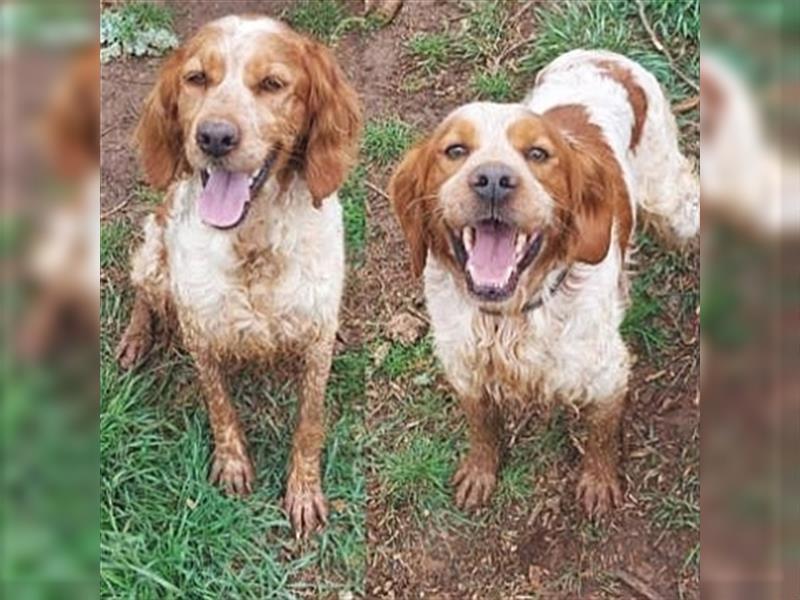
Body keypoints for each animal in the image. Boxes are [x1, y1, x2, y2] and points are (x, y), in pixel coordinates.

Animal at [115, 16, 360, 536]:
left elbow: (309, 422)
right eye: (196, 78)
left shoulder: (315, 340)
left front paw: (303, 492)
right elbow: (220, 406)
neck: (253, 241)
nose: (214, 137)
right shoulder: (200, 331)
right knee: (144, 292)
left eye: (272, 84)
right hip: (153, 253)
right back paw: (135, 338)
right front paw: (232, 465)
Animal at [390, 50, 696, 516]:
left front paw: (598, 482)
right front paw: (480, 471)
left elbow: (601, 434)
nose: (493, 180)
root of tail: (606, 57)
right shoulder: (464, 366)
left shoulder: (608, 373)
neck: (508, 318)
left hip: (673, 205)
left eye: (538, 153)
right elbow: (482, 425)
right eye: (455, 150)